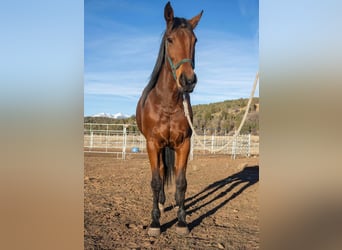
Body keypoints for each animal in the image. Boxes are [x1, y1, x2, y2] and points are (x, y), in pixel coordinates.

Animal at [135, 1, 202, 236]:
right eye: (170, 39)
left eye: (194, 40)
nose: (188, 80)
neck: (168, 103)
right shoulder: (152, 143)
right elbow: (156, 181)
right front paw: (155, 223)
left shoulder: (184, 144)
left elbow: (181, 182)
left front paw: (182, 222)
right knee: (162, 172)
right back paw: (162, 205)